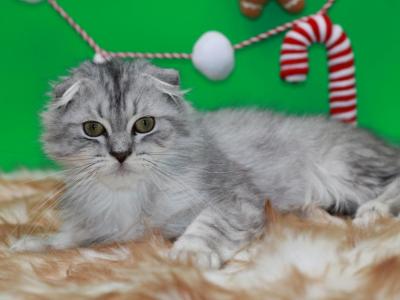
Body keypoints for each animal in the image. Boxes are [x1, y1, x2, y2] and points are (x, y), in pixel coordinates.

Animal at [10, 59, 400, 268]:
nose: (121, 154)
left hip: (345, 167)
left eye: (144, 125)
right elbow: (68, 238)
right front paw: (29, 245)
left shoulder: (236, 199)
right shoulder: (106, 229)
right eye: (93, 129)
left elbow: (207, 226)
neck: (132, 196)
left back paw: (374, 212)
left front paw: (188, 254)